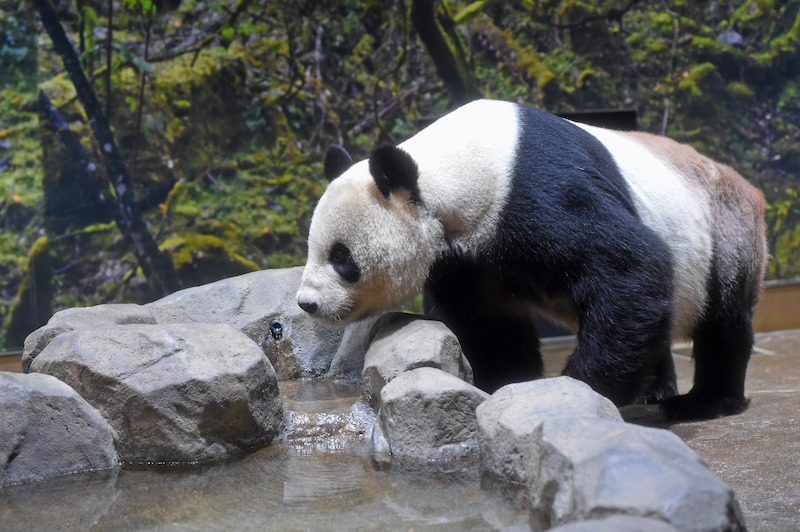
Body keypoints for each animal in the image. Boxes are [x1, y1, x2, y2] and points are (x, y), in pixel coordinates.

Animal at [296, 100, 768, 420]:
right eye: (312, 246)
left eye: (341, 257)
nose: (307, 303)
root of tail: (750, 188)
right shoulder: (467, 256)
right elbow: (488, 320)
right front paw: (507, 383)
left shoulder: (535, 192)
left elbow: (630, 267)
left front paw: (580, 390)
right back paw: (658, 388)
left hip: (724, 233)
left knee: (722, 320)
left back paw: (704, 400)